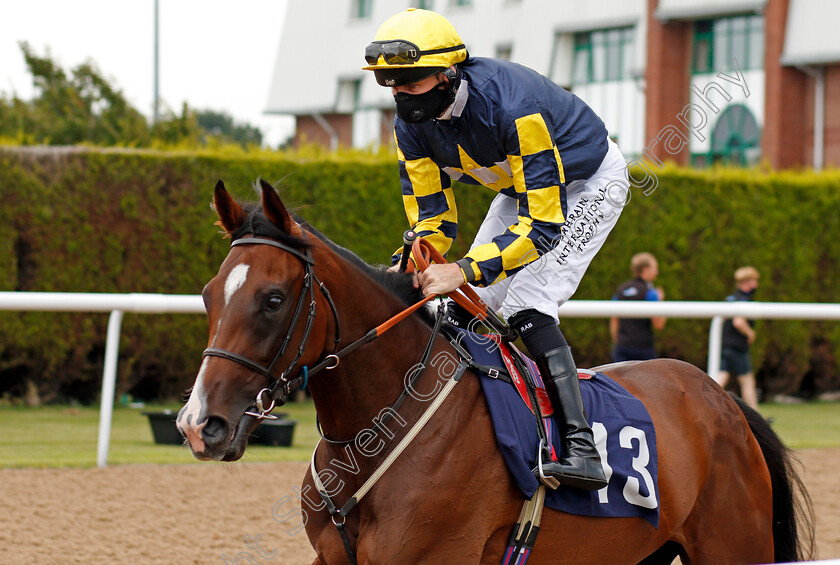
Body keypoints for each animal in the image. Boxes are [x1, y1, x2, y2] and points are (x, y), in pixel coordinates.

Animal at [177, 181, 812, 564]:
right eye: (208, 295)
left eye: (273, 299)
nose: (198, 424)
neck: (379, 426)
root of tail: (722, 401)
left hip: (734, 544)